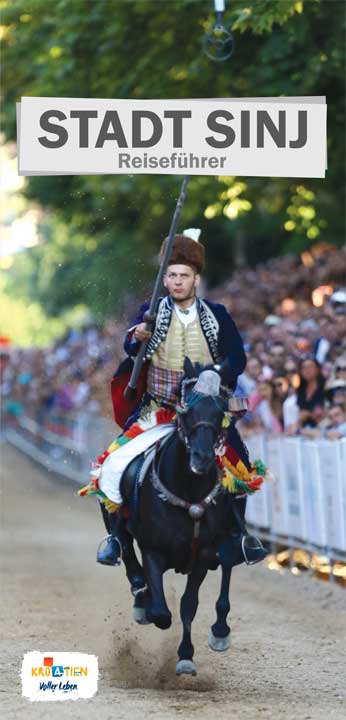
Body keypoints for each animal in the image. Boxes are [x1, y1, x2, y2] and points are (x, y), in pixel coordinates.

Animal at [115, 358, 255, 676]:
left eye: (220, 413)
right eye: (186, 411)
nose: (202, 458)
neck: (187, 489)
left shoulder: (202, 555)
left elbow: (188, 606)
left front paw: (186, 656)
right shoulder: (153, 550)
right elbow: (161, 611)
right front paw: (148, 606)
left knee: (227, 567)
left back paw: (219, 631)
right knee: (125, 548)